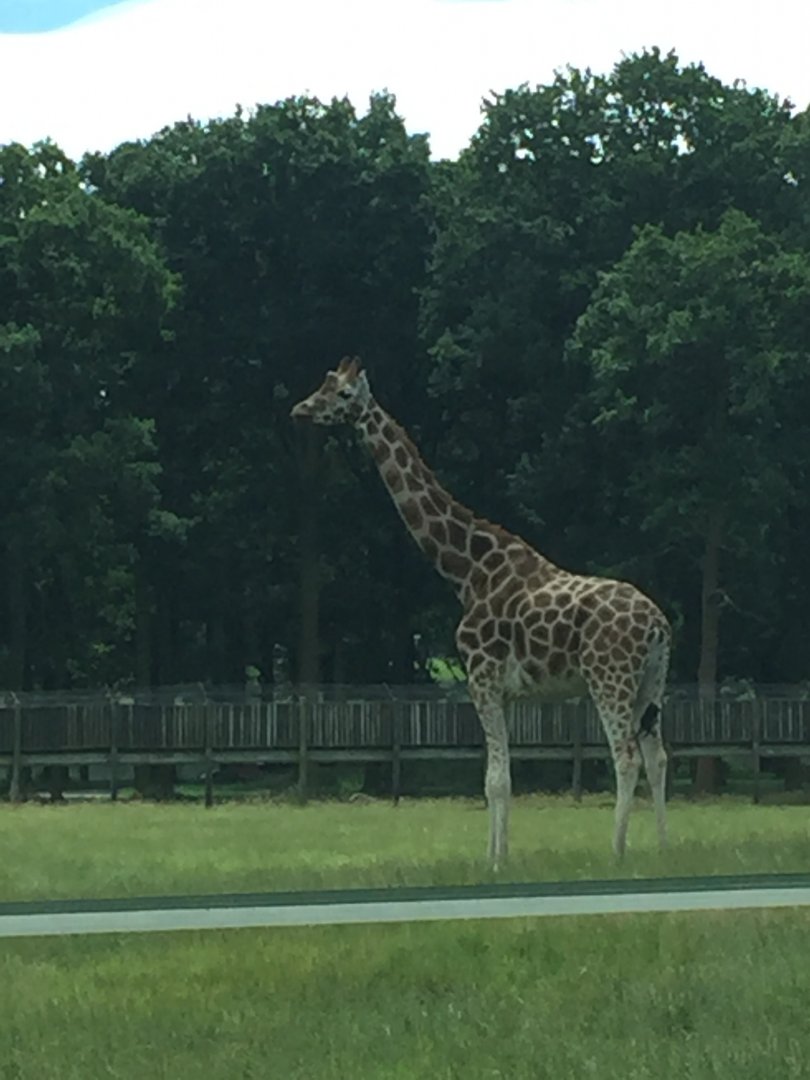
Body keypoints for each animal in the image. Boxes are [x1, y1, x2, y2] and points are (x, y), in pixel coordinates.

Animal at [291, 357, 671, 868]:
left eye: (344, 394)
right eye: (325, 384)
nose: (301, 409)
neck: (468, 571)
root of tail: (658, 625)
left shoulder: (481, 676)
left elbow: (495, 780)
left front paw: (495, 862)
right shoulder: (504, 691)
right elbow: (496, 777)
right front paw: (497, 855)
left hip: (609, 678)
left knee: (626, 756)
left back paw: (617, 853)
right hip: (652, 683)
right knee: (657, 755)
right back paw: (665, 848)